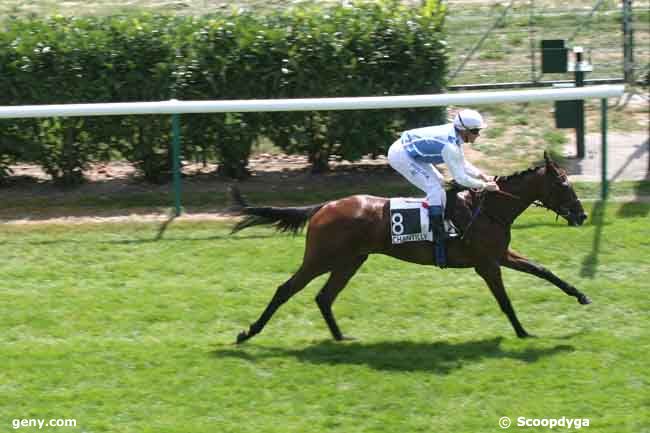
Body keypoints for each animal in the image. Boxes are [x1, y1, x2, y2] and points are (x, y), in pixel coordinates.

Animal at [230, 153, 588, 344]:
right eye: (563, 184)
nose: (582, 215)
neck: (487, 209)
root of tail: (323, 206)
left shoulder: (500, 255)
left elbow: (543, 270)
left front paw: (581, 296)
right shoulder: (487, 264)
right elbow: (505, 300)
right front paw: (523, 332)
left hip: (350, 261)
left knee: (324, 297)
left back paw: (341, 338)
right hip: (322, 258)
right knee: (286, 289)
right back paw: (248, 333)